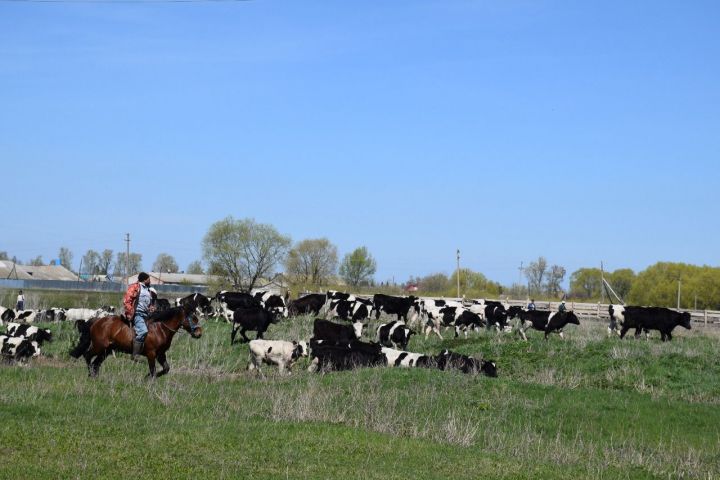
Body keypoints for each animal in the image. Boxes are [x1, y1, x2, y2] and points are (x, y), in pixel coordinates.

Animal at [71, 306, 202, 376]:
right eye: (193, 318)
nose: (199, 333)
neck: (160, 328)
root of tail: (96, 321)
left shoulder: (160, 354)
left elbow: (165, 369)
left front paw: (147, 377)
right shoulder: (151, 354)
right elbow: (153, 370)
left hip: (106, 351)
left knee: (96, 363)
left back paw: (95, 376)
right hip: (99, 346)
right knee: (87, 356)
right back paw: (91, 375)